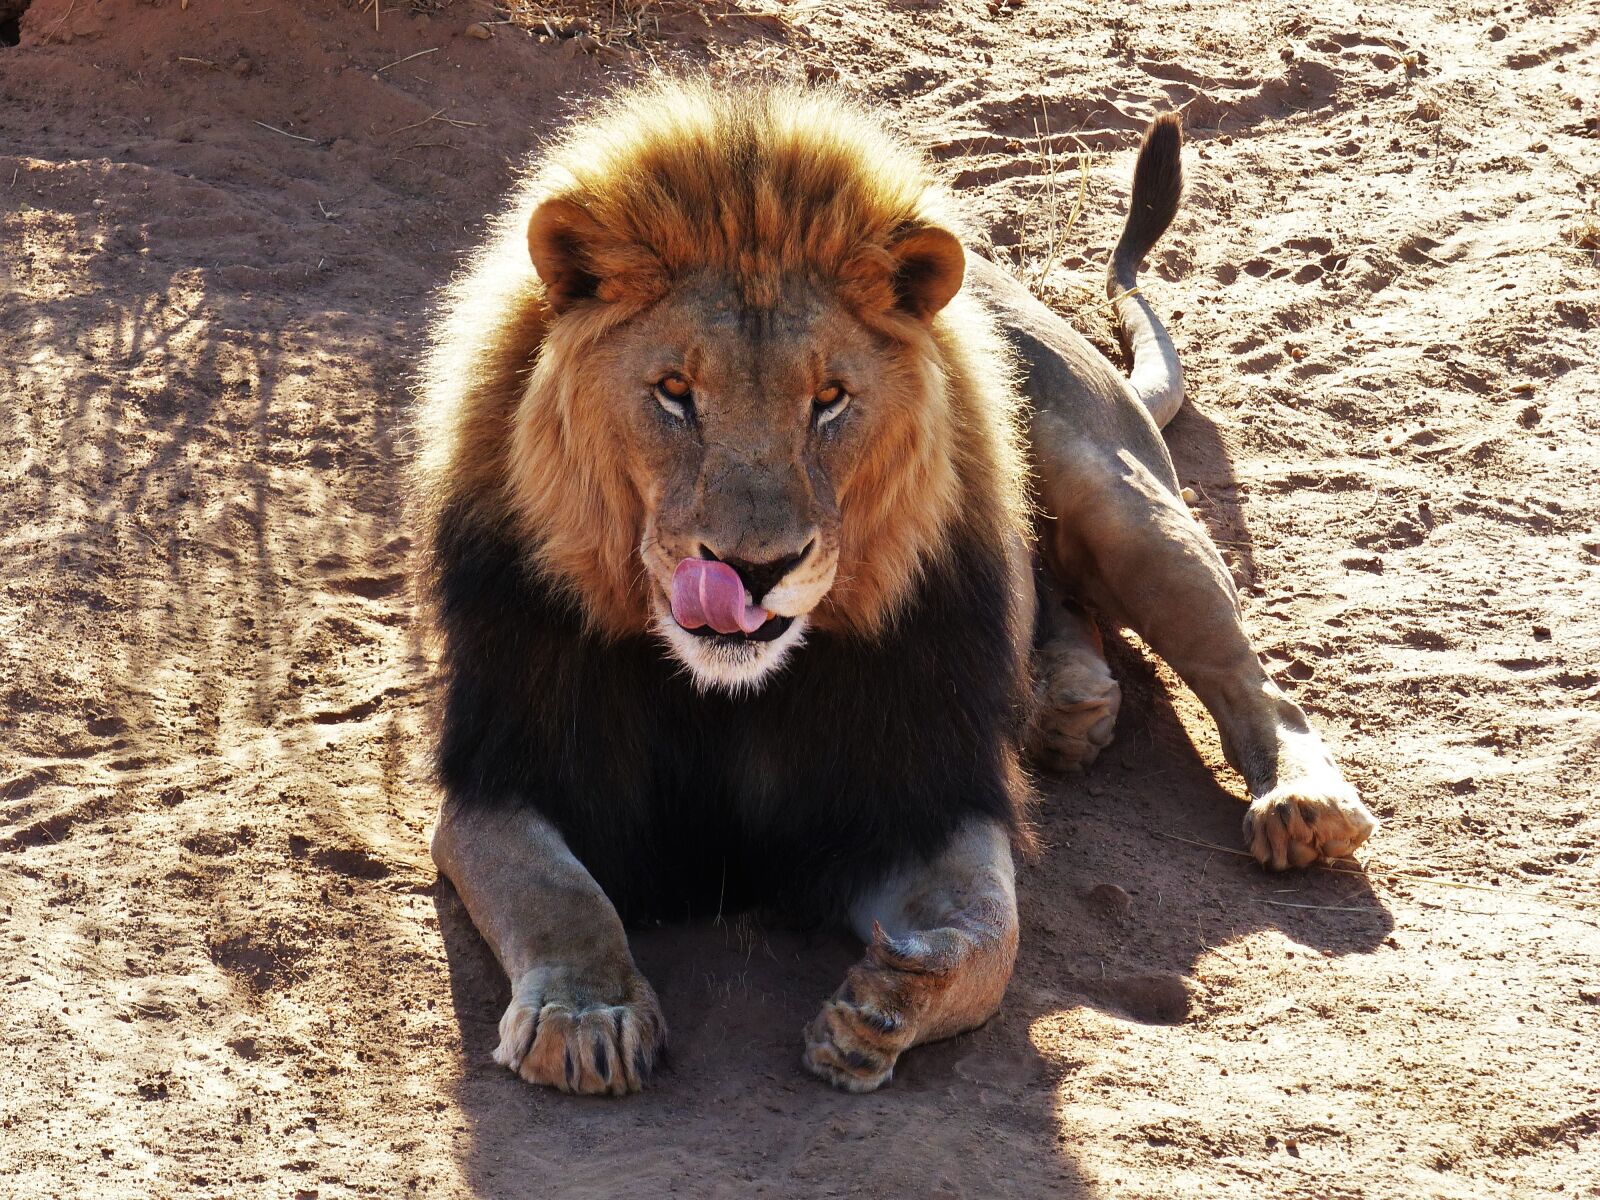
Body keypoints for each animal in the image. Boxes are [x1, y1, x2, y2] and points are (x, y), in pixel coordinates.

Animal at [414, 81, 1377, 1096]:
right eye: (674, 392)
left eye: (829, 400)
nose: (754, 569)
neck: (725, 696)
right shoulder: (499, 779)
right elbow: (556, 892)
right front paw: (585, 1016)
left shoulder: (924, 793)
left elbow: (991, 931)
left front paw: (887, 1003)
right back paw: (1067, 704)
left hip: (1125, 503)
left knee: (1252, 681)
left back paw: (1300, 805)